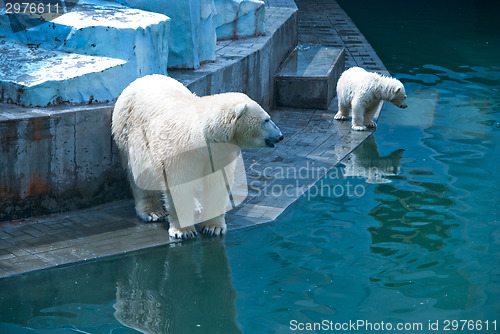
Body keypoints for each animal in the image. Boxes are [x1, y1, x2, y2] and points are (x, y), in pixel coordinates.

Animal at [114, 75, 286, 240]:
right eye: (266, 119)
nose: (280, 136)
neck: (201, 138)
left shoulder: (219, 155)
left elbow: (217, 185)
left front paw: (214, 227)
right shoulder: (178, 154)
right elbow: (179, 186)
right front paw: (183, 231)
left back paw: (195, 206)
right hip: (131, 133)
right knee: (141, 174)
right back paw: (153, 211)